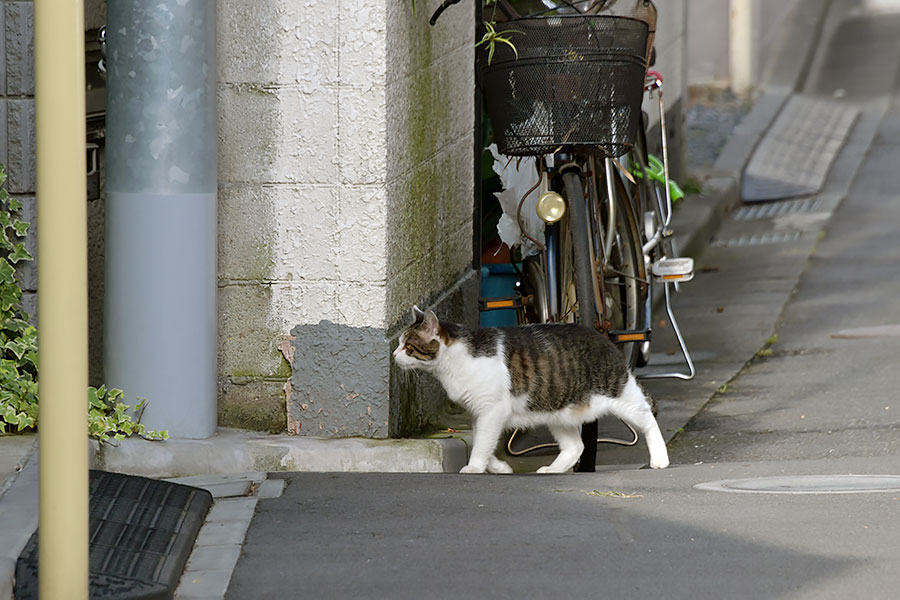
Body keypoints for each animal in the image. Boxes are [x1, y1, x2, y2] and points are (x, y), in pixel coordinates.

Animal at [394, 308, 668, 476]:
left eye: (408, 346)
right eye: (399, 343)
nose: (394, 354)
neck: (453, 361)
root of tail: (604, 338)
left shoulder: (492, 410)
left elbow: (482, 442)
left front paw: (474, 467)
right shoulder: (479, 412)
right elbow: (483, 439)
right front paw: (499, 467)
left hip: (618, 394)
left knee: (648, 417)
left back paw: (660, 459)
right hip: (557, 410)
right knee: (575, 446)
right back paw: (553, 469)